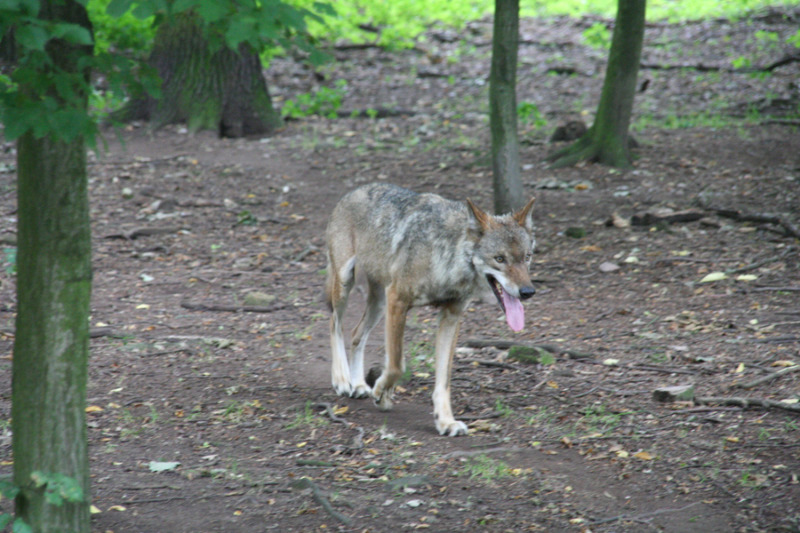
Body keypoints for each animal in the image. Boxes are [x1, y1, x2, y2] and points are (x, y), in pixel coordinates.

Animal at [322, 183, 536, 436]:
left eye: (527, 257)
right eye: (500, 259)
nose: (528, 291)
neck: (448, 256)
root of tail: (354, 191)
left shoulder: (451, 317)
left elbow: (443, 381)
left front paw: (445, 421)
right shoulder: (398, 301)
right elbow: (396, 365)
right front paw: (382, 394)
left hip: (379, 304)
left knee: (356, 334)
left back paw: (357, 384)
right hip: (347, 282)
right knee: (334, 323)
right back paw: (342, 379)